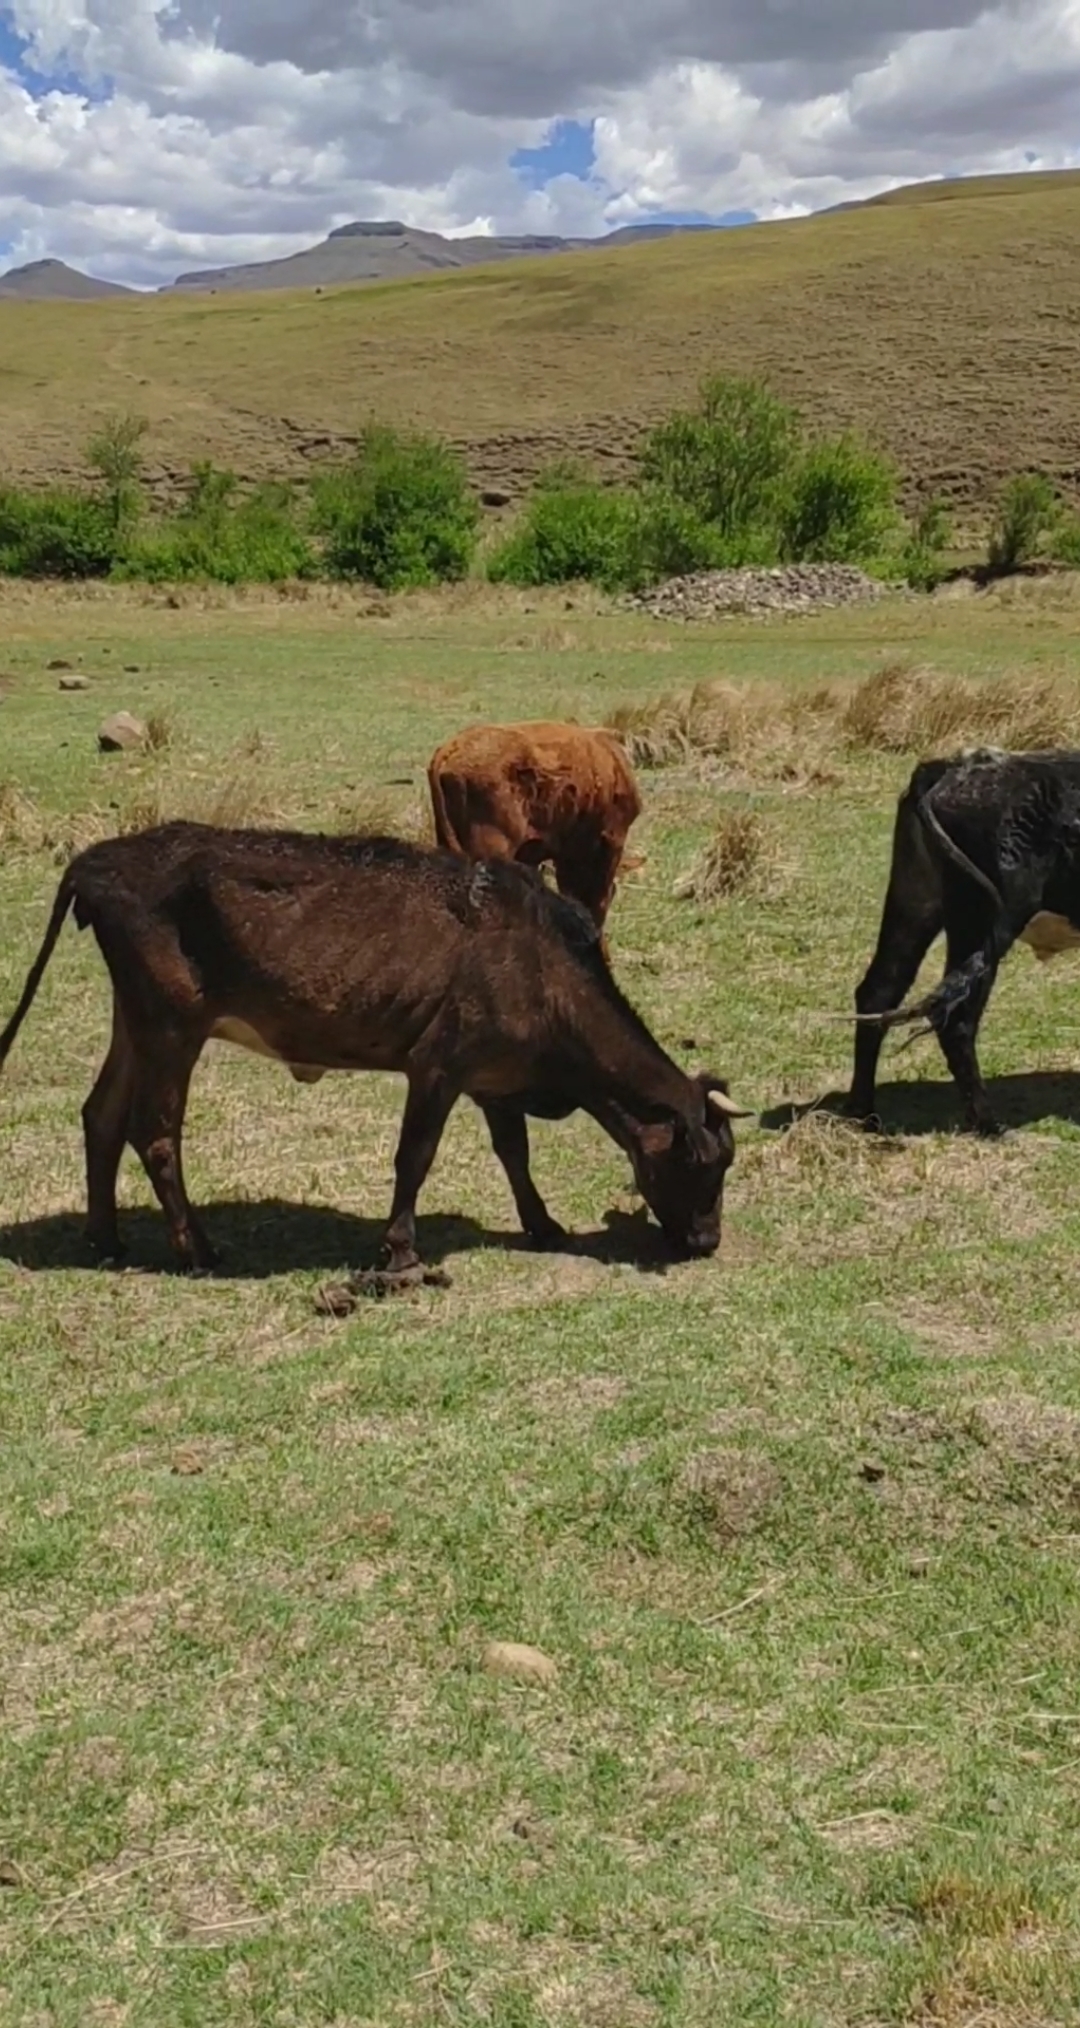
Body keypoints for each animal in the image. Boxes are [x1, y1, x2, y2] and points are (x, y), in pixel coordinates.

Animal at [0, 819, 745, 1281]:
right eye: (701, 1166)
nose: (707, 1240)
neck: (543, 968)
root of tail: (98, 859)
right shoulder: (438, 1065)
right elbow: (415, 1157)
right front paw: (400, 1250)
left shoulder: (493, 1076)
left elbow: (514, 1153)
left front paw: (542, 1223)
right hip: (171, 1029)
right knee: (153, 1134)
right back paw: (197, 1249)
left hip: (135, 1022)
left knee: (100, 1116)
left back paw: (104, 1238)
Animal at [846, 746, 1077, 1135]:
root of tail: (955, 765)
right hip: (981, 922)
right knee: (955, 1020)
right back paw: (989, 1124)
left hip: (915, 903)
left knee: (878, 992)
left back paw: (864, 1115)